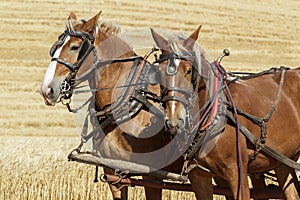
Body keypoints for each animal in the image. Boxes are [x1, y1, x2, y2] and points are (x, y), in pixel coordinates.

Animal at [152, 27, 300, 200]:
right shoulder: (200, 177)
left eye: (188, 70)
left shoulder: (237, 172)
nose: (174, 120)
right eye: (159, 72)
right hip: (284, 161)